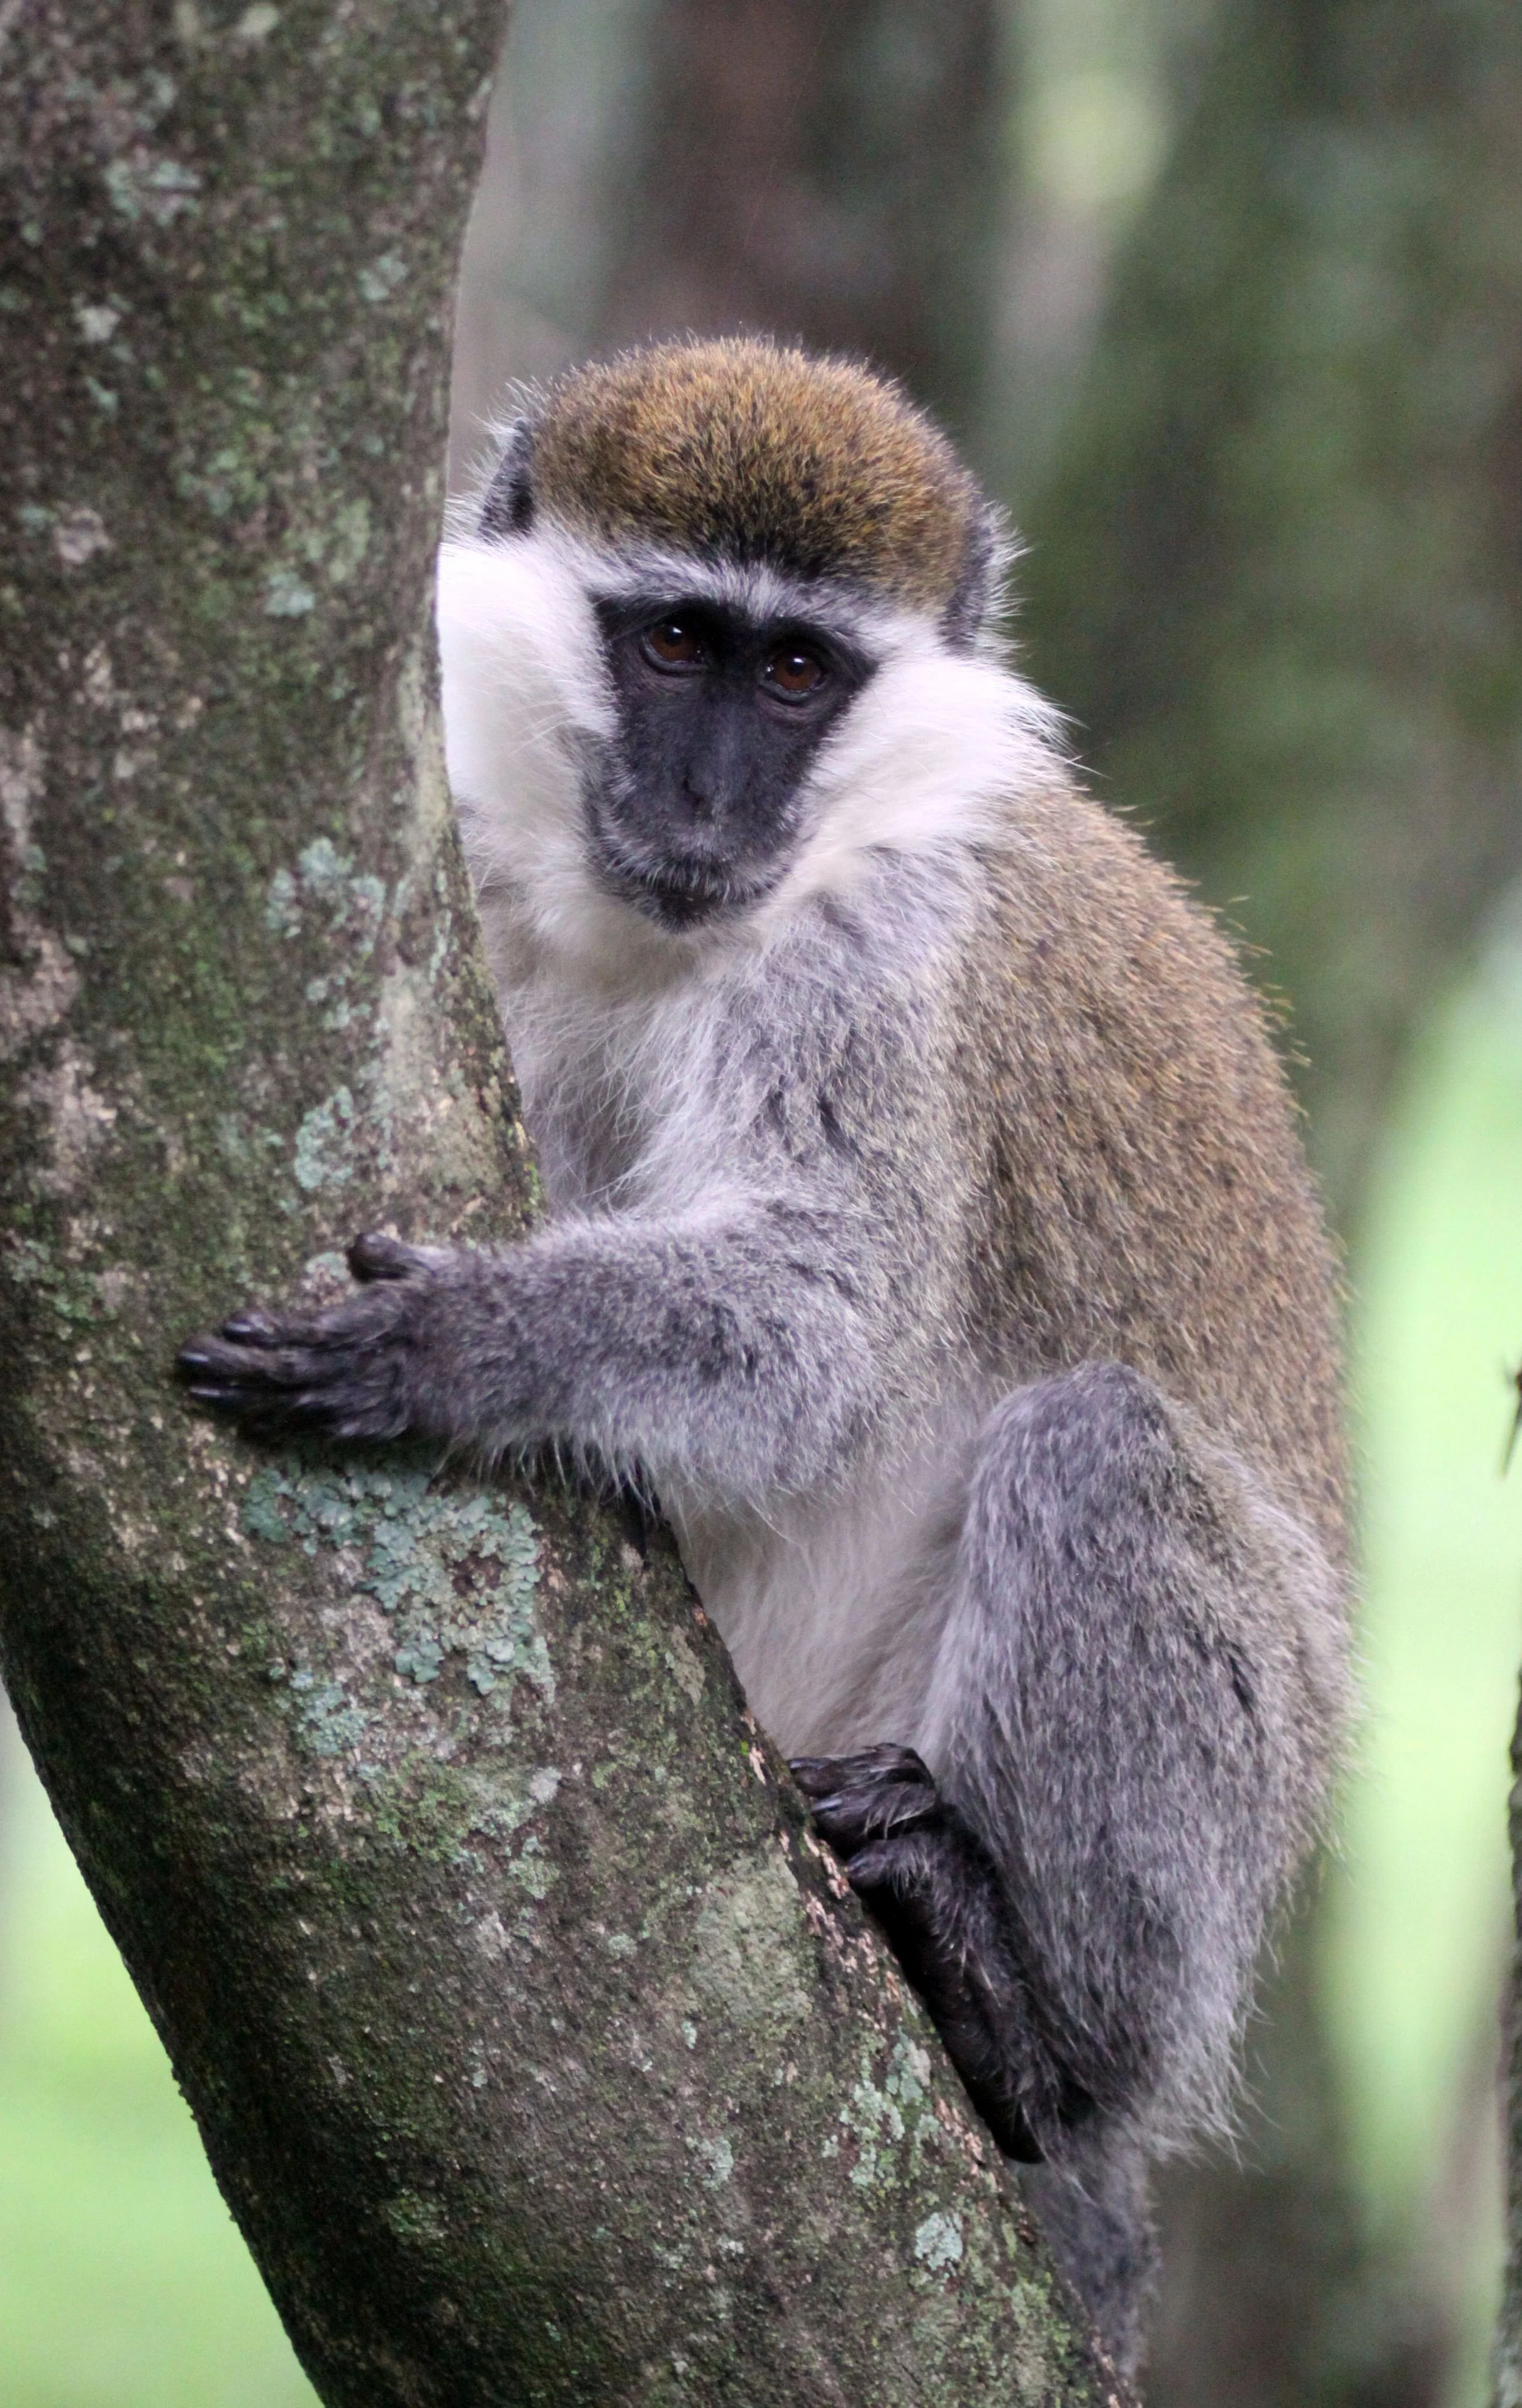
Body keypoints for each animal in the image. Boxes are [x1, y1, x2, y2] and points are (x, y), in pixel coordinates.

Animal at [178, 337, 1352, 2378]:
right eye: (672, 642)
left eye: (797, 672)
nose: (711, 798)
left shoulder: (866, 969)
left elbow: (824, 1326)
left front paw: (449, 1339)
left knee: (1095, 1447)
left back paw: (1031, 2018)